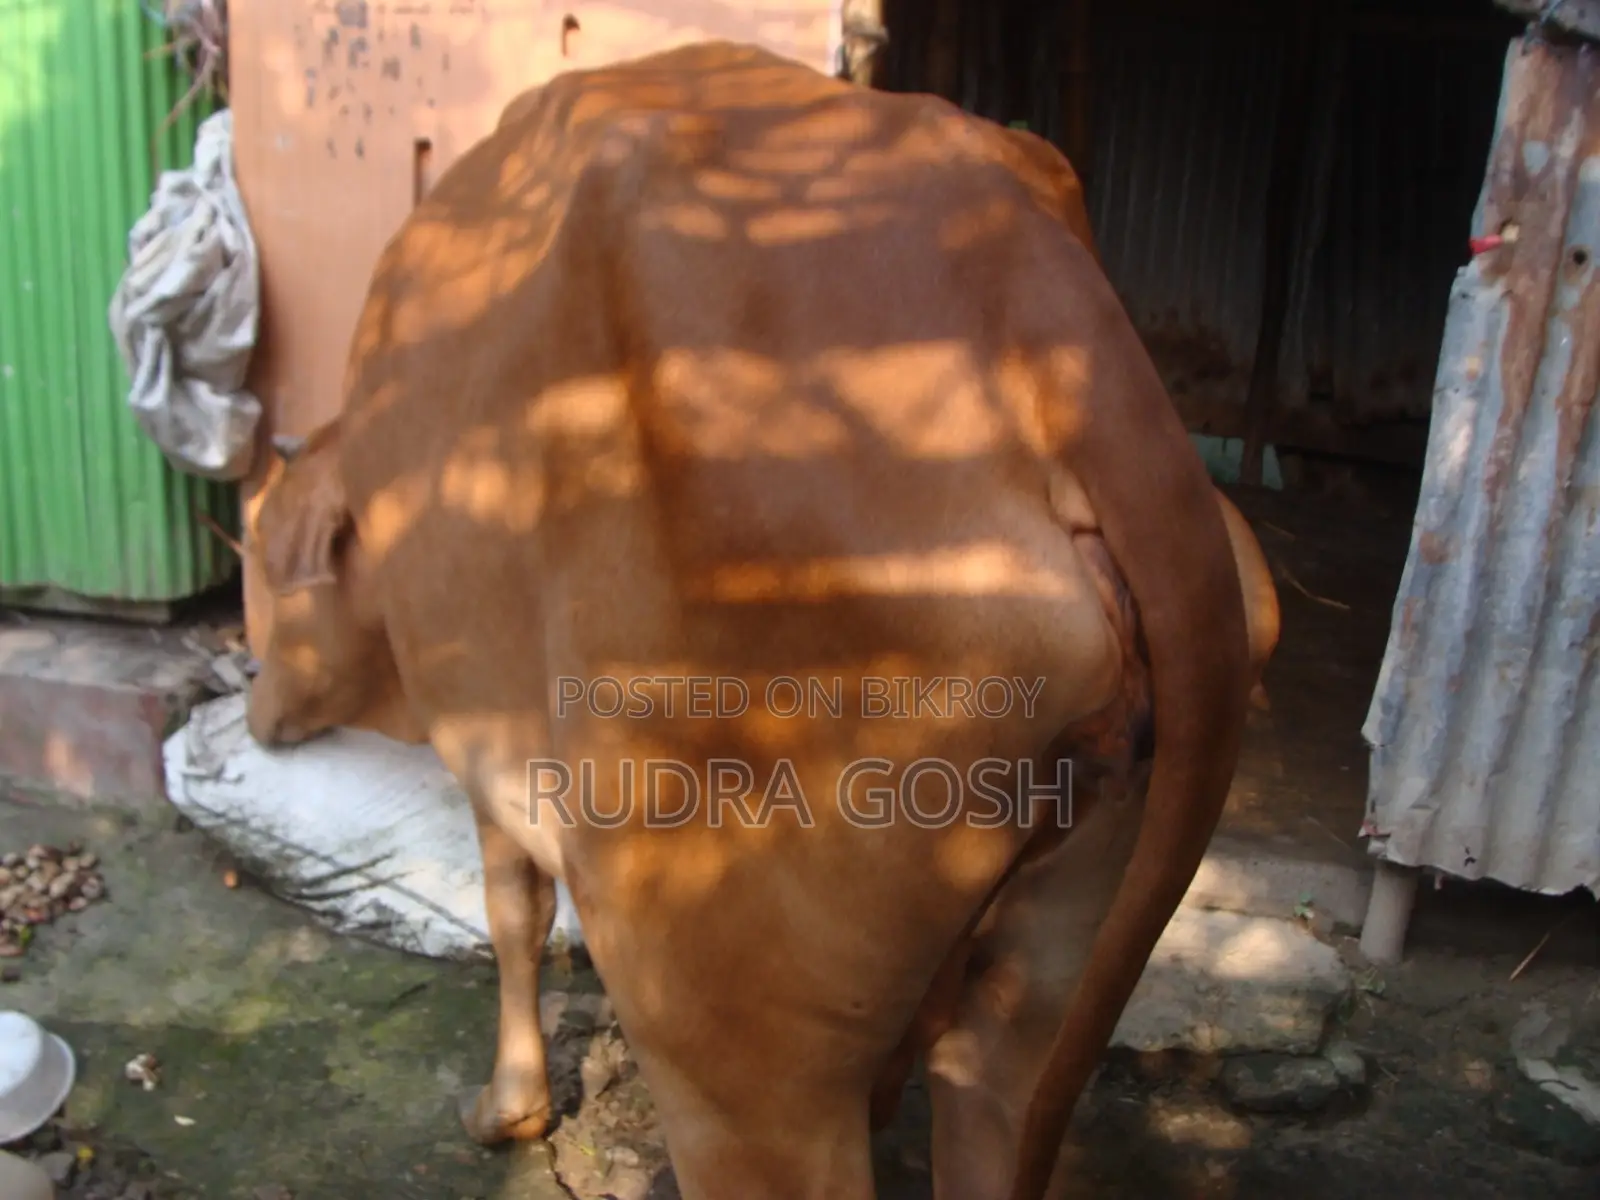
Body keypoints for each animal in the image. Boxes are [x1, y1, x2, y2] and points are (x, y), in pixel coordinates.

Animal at [243, 40, 1275, 1200]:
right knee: (988, 1087)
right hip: (1044, 980)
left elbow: (511, 911)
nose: (252, 701)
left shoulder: (484, 735)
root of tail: (1043, 298)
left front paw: (506, 1109)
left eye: (261, 552)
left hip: (722, 1015)